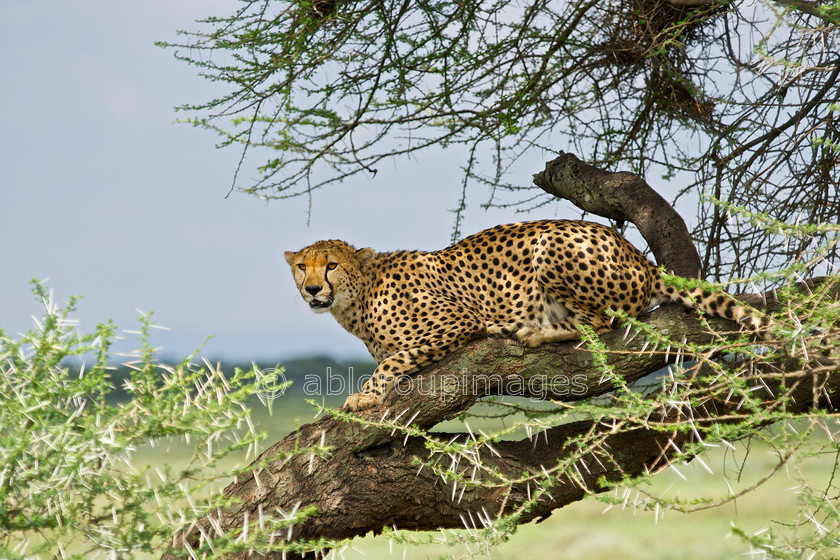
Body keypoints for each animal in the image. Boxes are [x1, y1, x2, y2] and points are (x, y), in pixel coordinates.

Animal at [286, 220, 772, 412]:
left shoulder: (458, 321)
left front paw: (365, 396)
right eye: (302, 266)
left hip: (552, 243)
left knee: (601, 323)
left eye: (332, 264)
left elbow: (395, 359)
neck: (355, 302)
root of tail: (640, 256)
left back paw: (532, 331)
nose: (312, 289)